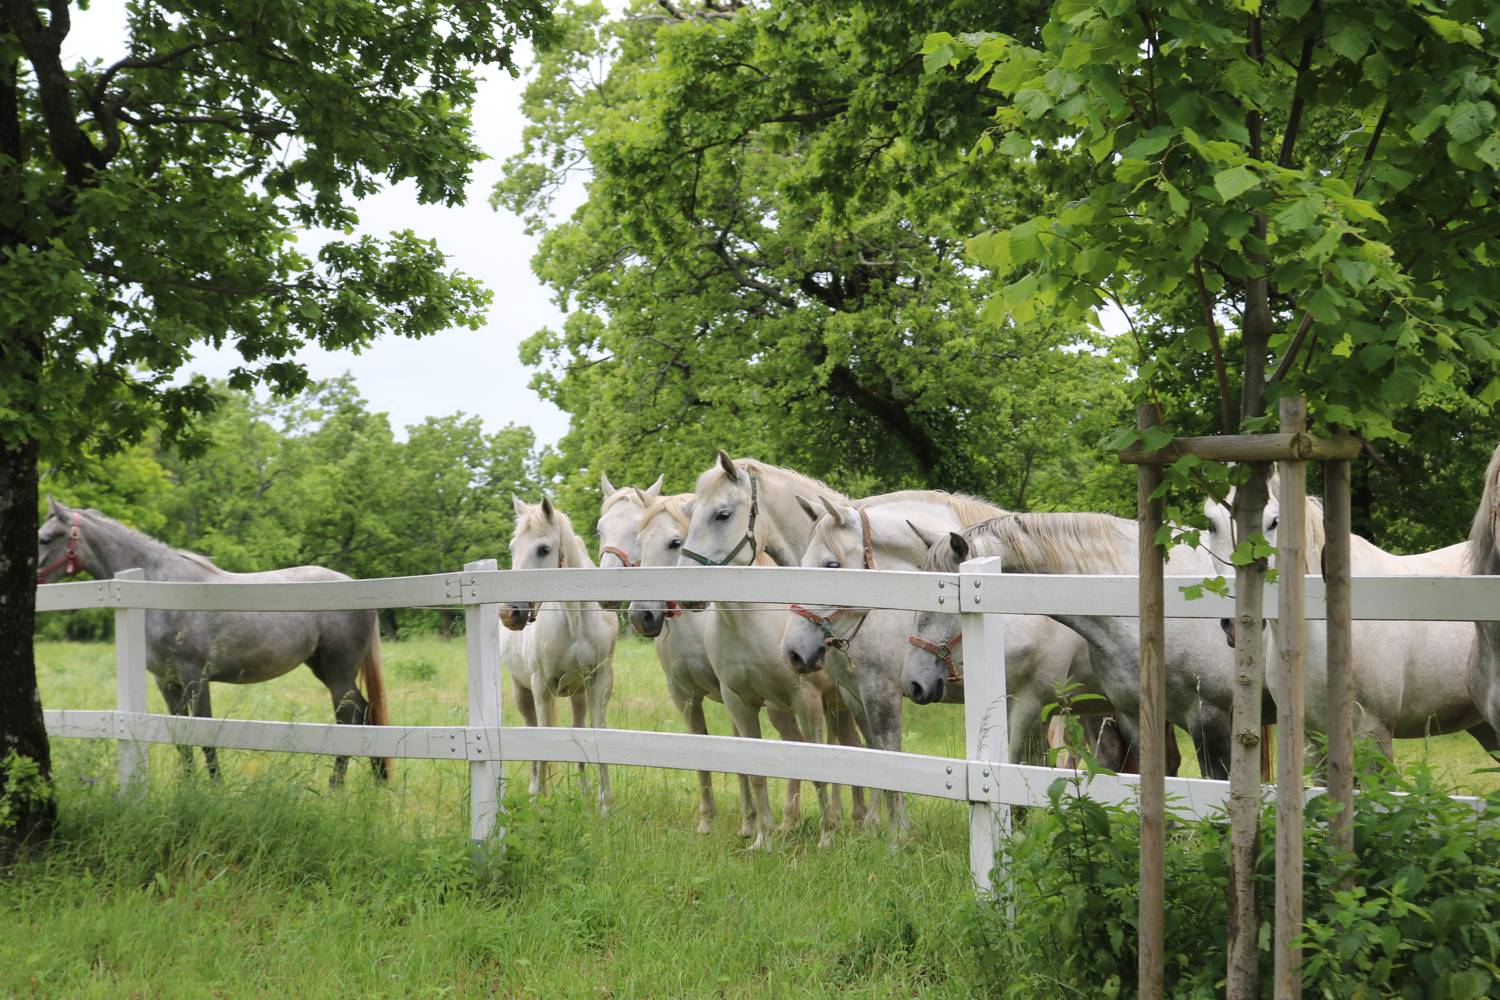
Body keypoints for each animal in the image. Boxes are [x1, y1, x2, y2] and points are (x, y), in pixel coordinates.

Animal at [36, 497, 393, 785]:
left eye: (46, 538)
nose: (34, 582)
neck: (157, 589)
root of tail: (356, 587)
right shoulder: (167, 682)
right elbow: (182, 737)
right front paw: (189, 786)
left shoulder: (195, 678)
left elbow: (205, 733)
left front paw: (214, 787)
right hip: (322, 668)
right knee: (364, 714)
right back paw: (377, 782)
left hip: (338, 672)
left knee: (349, 719)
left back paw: (337, 786)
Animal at [498, 497, 615, 809]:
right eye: (513, 547)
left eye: (543, 549)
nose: (508, 613)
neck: (574, 619)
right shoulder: (541, 686)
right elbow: (543, 737)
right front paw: (539, 800)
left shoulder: (600, 681)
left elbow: (597, 734)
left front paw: (604, 803)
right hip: (522, 692)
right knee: (532, 728)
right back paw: (535, 787)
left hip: (578, 695)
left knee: (577, 727)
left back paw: (583, 790)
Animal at [606, 491, 756, 839]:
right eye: (641, 539)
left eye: (675, 542)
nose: (642, 616)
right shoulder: (684, 696)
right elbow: (700, 750)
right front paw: (706, 821)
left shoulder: (732, 694)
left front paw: (747, 823)